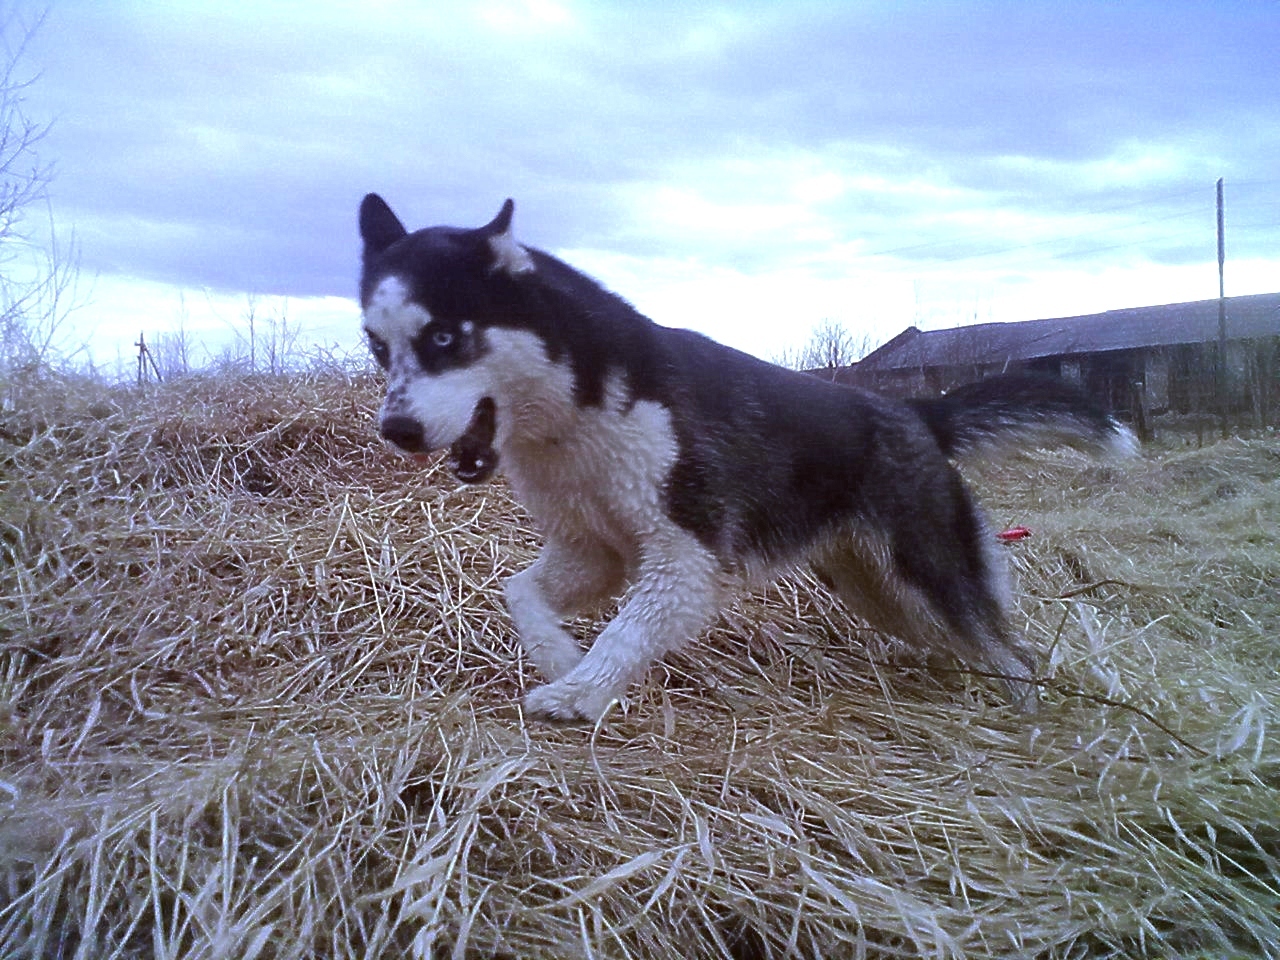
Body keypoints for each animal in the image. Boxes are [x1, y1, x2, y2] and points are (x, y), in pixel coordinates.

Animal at [355, 195, 1136, 721]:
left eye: (445, 337)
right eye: (376, 343)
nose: (396, 430)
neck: (580, 411)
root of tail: (915, 412)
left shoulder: (684, 561)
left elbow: (624, 635)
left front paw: (579, 693)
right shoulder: (591, 552)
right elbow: (520, 594)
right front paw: (559, 658)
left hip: (928, 575)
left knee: (1012, 652)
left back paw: (1026, 722)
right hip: (878, 591)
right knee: (963, 644)